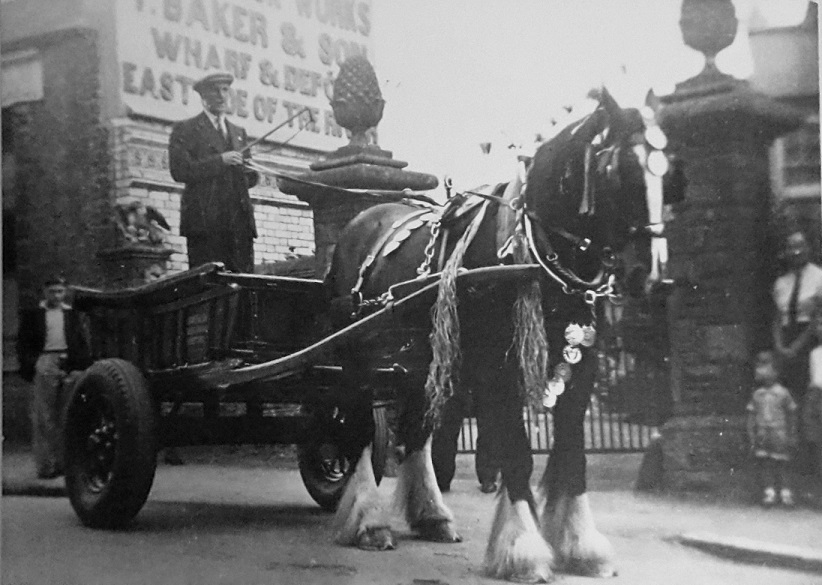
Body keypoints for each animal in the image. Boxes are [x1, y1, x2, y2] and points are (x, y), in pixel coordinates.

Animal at [322, 89, 668, 580]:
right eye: (615, 170)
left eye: (668, 172)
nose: (651, 277)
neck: (534, 254)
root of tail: (361, 221)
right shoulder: (496, 373)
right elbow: (518, 455)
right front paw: (523, 549)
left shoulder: (581, 369)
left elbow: (573, 454)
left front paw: (580, 545)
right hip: (357, 361)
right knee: (363, 433)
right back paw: (369, 521)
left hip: (422, 363)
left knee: (416, 433)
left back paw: (431, 515)